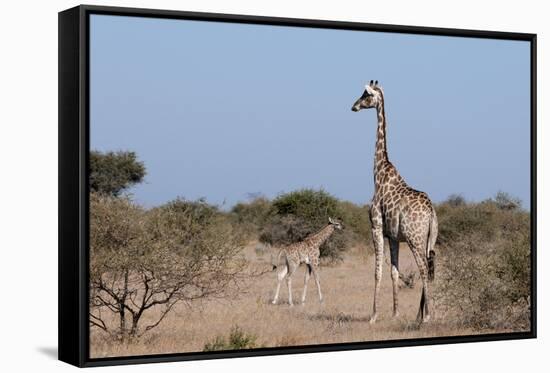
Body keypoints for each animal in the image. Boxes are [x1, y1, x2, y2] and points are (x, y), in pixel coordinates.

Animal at [354, 79, 440, 322]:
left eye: (366, 95)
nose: (354, 106)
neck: (378, 172)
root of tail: (432, 212)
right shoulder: (393, 236)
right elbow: (394, 271)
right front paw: (395, 313)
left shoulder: (376, 226)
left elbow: (378, 271)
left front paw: (373, 315)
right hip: (429, 239)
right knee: (430, 267)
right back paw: (419, 315)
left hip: (415, 238)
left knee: (423, 269)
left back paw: (427, 316)